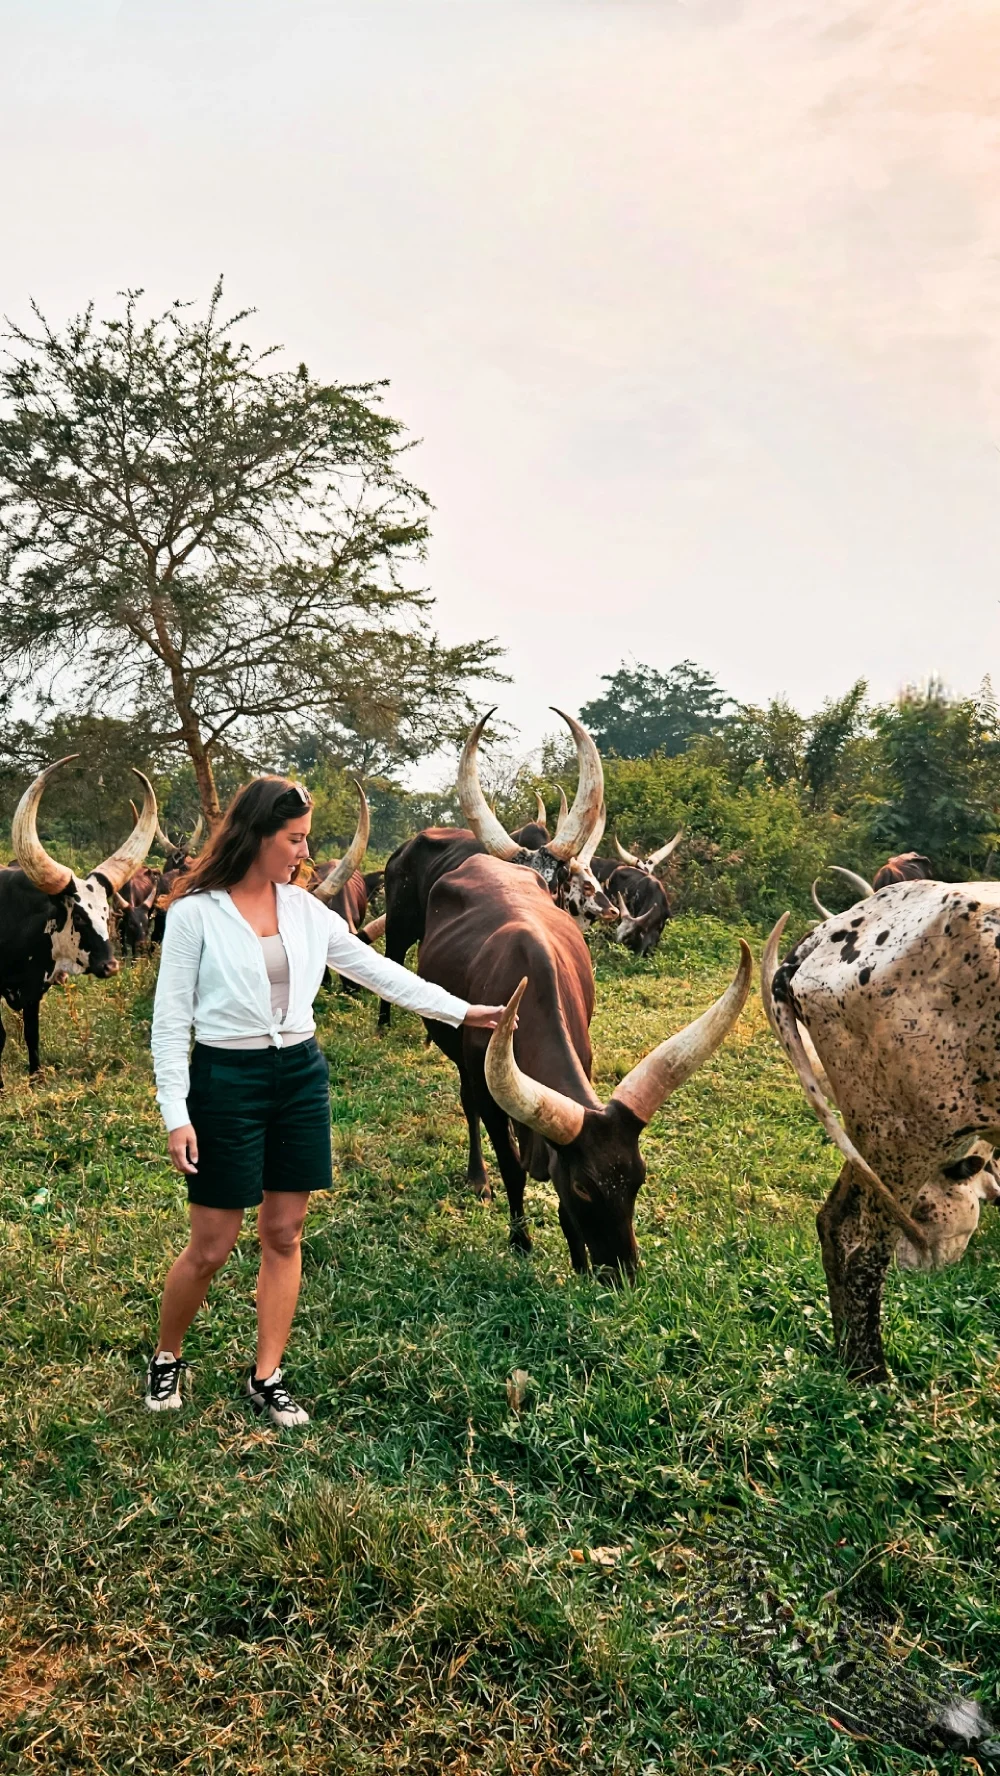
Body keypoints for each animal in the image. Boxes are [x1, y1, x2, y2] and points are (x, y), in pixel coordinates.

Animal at [0, 753, 158, 1079]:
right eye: (81, 918)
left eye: (107, 914)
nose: (111, 966)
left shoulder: (34, 990)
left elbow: (32, 1034)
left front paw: (36, 1077)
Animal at [417, 848, 753, 1278]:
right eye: (584, 1187)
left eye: (639, 1179)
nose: (622, 1273)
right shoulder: (490, 1096)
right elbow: (512, 1169)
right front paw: (521, 1241)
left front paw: (578, 1261)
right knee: (468, 1105)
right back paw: (478, 1178)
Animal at [770, 888, 1000, 1385]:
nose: (918, 1270)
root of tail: (826, 933)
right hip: (909, 1137)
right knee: (862, 1251)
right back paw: (872, 1375)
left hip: (871, 1137)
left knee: (832, 1223)